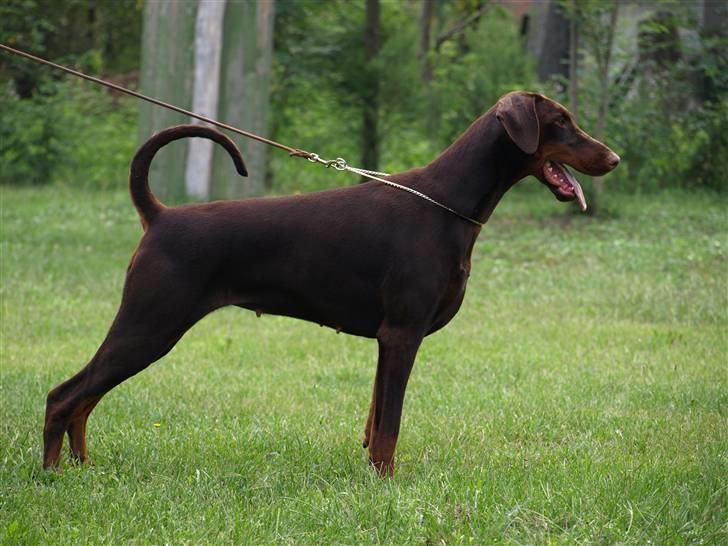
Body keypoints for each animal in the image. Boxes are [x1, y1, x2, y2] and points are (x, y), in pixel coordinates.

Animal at [42, 91, 616, 474]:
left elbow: (376, 417)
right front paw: (387, 485)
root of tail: (160, 216)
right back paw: (51, 476)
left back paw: (83, 466)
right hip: (150, 325)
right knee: (64, 396)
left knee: (84, 400)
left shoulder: (388, 339)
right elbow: (390, 424)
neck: (445, 204)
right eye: (562, 122)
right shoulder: (402, 334)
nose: (613, 158)